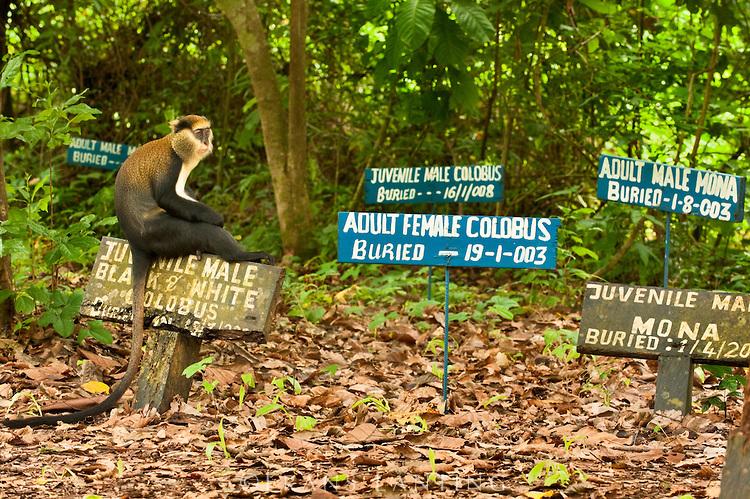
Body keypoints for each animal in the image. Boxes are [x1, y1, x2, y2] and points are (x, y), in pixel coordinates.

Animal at [3, 115, 274, 428]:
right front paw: (217, 218)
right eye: (199, 133)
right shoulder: (171, 166)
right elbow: (169, 198)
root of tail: (135, 242)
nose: (208, 141)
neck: (175, 145)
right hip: (163, 233)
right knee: (201, 230)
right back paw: (240, 254)